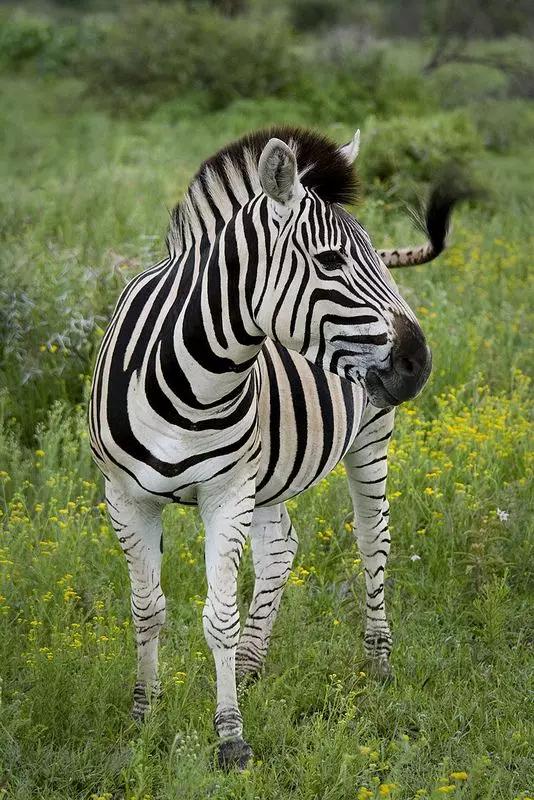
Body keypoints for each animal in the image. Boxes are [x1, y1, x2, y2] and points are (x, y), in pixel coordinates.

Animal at [90, 125, 458, 768]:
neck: (194, 375)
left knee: (373, 542)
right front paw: (142, 717)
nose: (420, 364)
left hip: (367, 438)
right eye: (331, 260)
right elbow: (147, 608)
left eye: (365, 253)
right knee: (281, 547)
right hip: (272, 471)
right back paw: (250, 667)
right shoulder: (127, 497)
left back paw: (378, 663)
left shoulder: (226, 492)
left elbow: (219, 616)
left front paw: (230, 738)